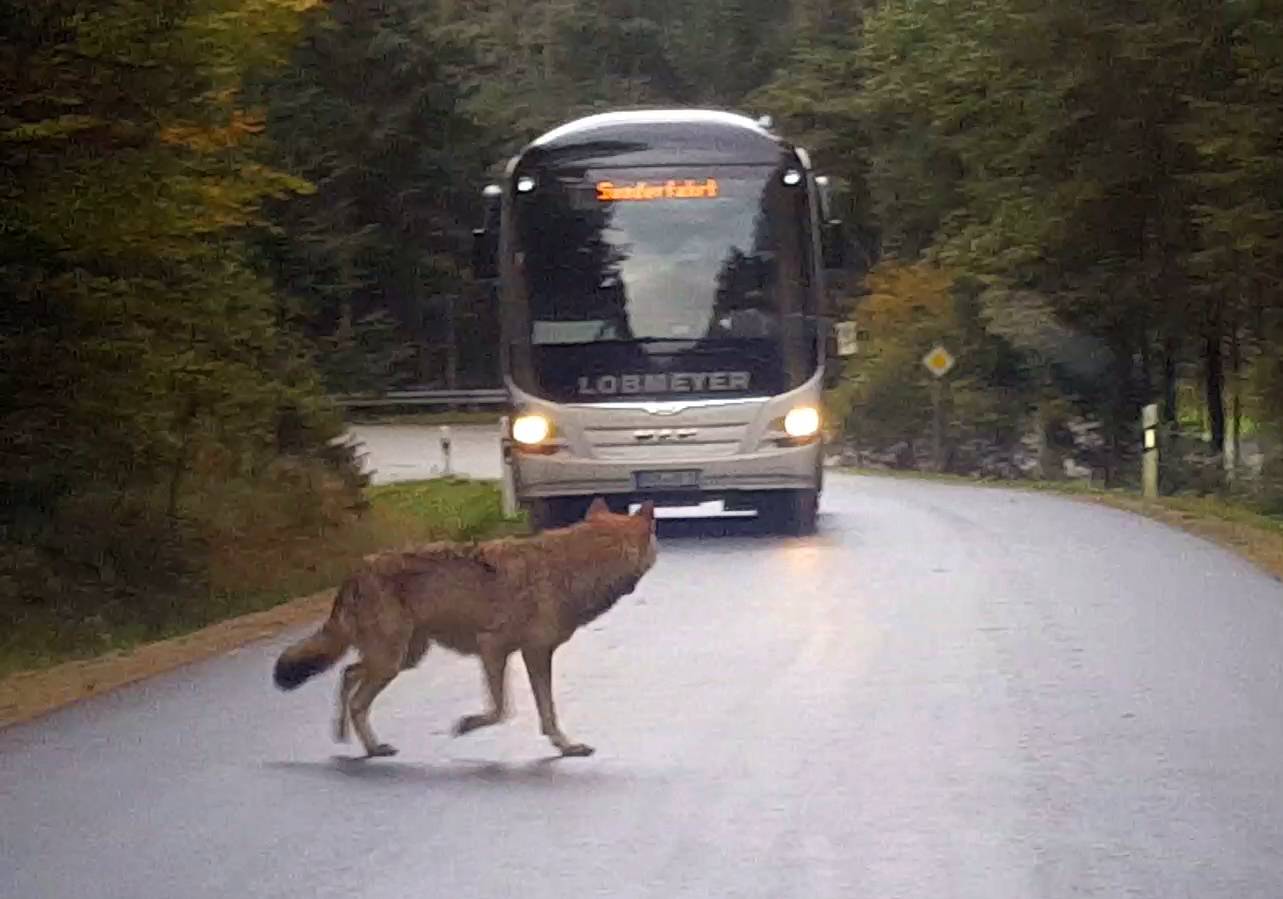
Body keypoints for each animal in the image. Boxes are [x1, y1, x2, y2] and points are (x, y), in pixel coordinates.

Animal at [269, 497, 651, 759]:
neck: (574, 567)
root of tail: (355, 571)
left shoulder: (532, 654)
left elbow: (545, 712)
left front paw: (566, 747)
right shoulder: (495, 648)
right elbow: (501, 710)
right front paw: (466, 725)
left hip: (404, 658)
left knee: (347, 674)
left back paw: (349, 737)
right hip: (392, 662)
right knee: (356, 696)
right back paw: (372, 747)